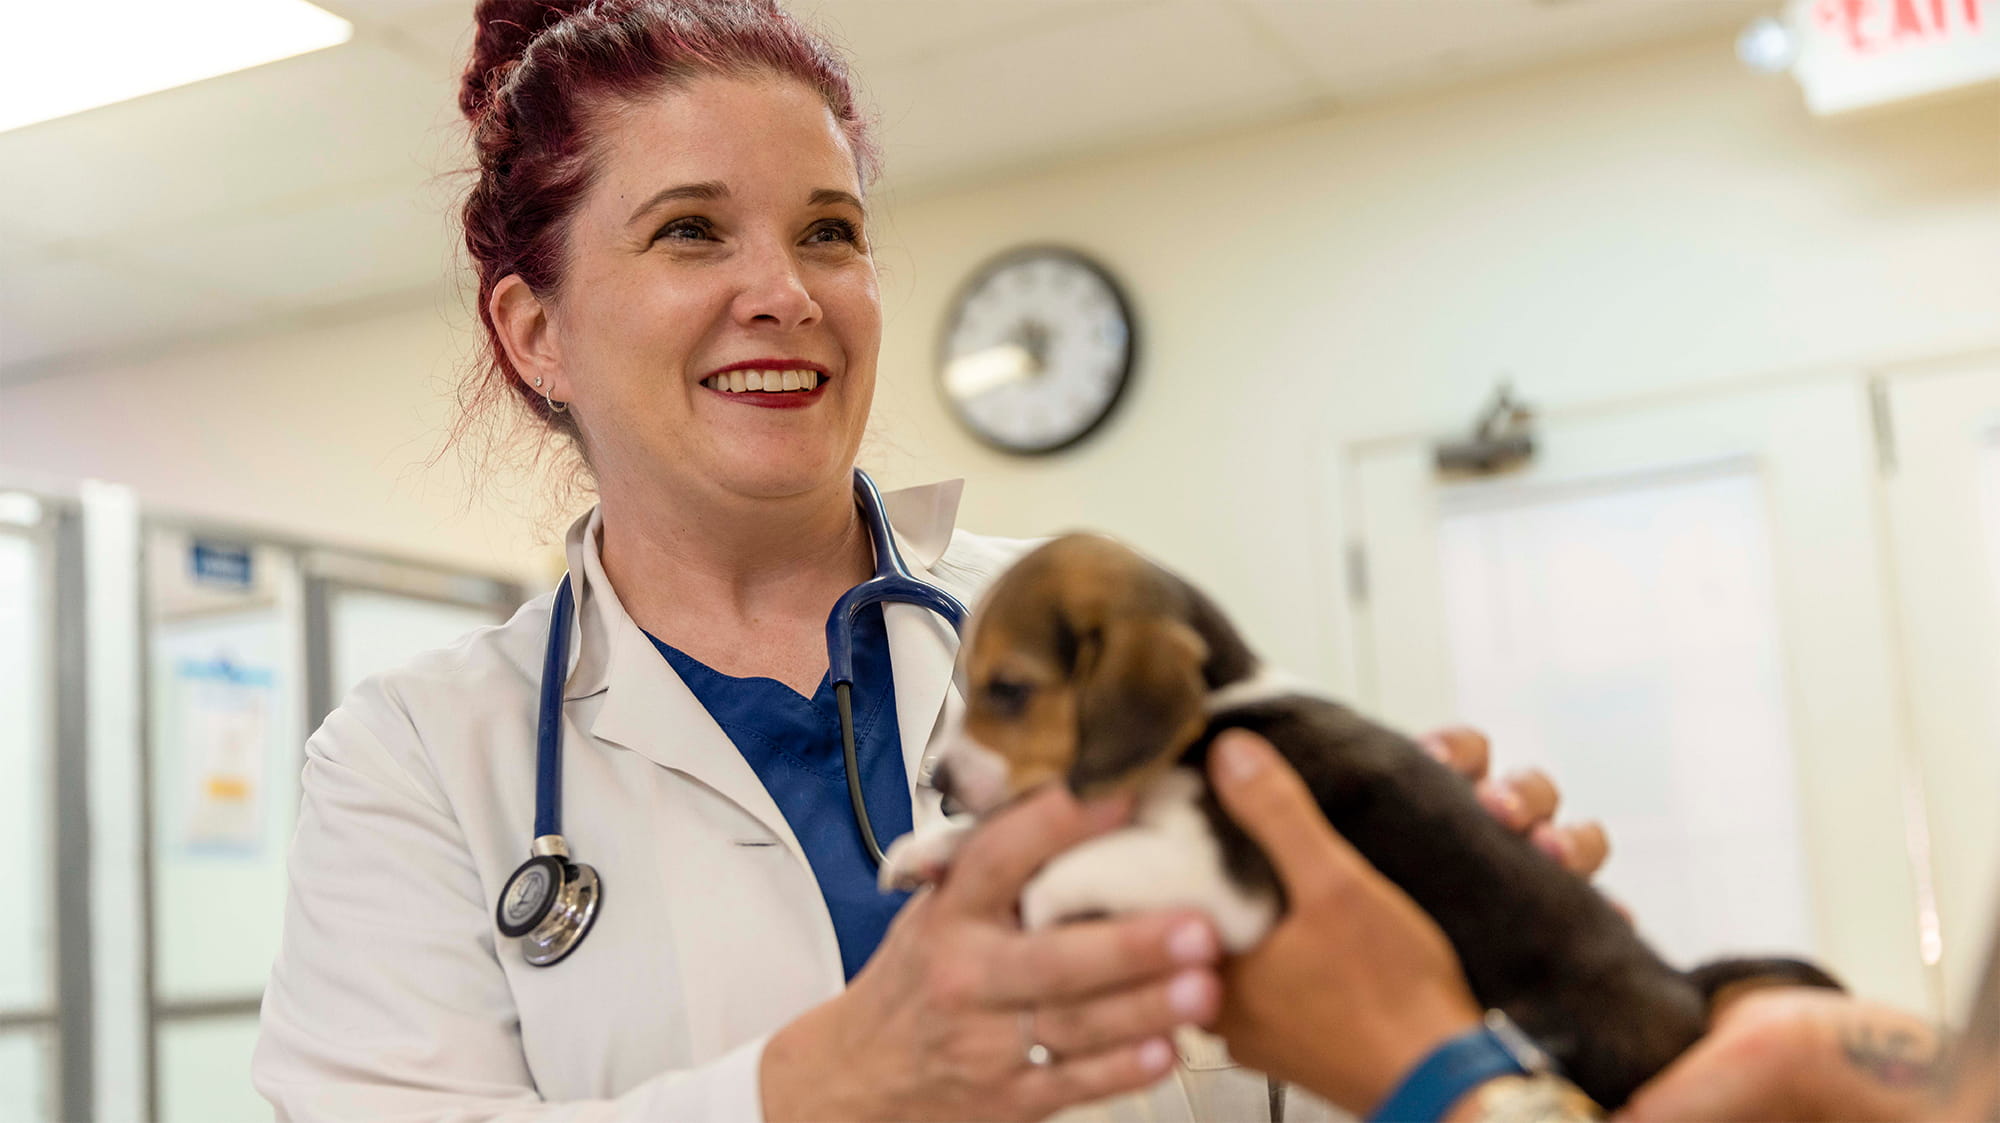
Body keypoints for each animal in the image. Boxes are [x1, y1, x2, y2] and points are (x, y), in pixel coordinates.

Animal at [884, 535, 1832, 1111]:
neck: (1216, 705)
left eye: (1009, 689)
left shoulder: (1224, 879)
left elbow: (1073, 858)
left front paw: (1037, 901)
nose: (941, 783)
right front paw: (927, 848)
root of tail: (1683, 986)